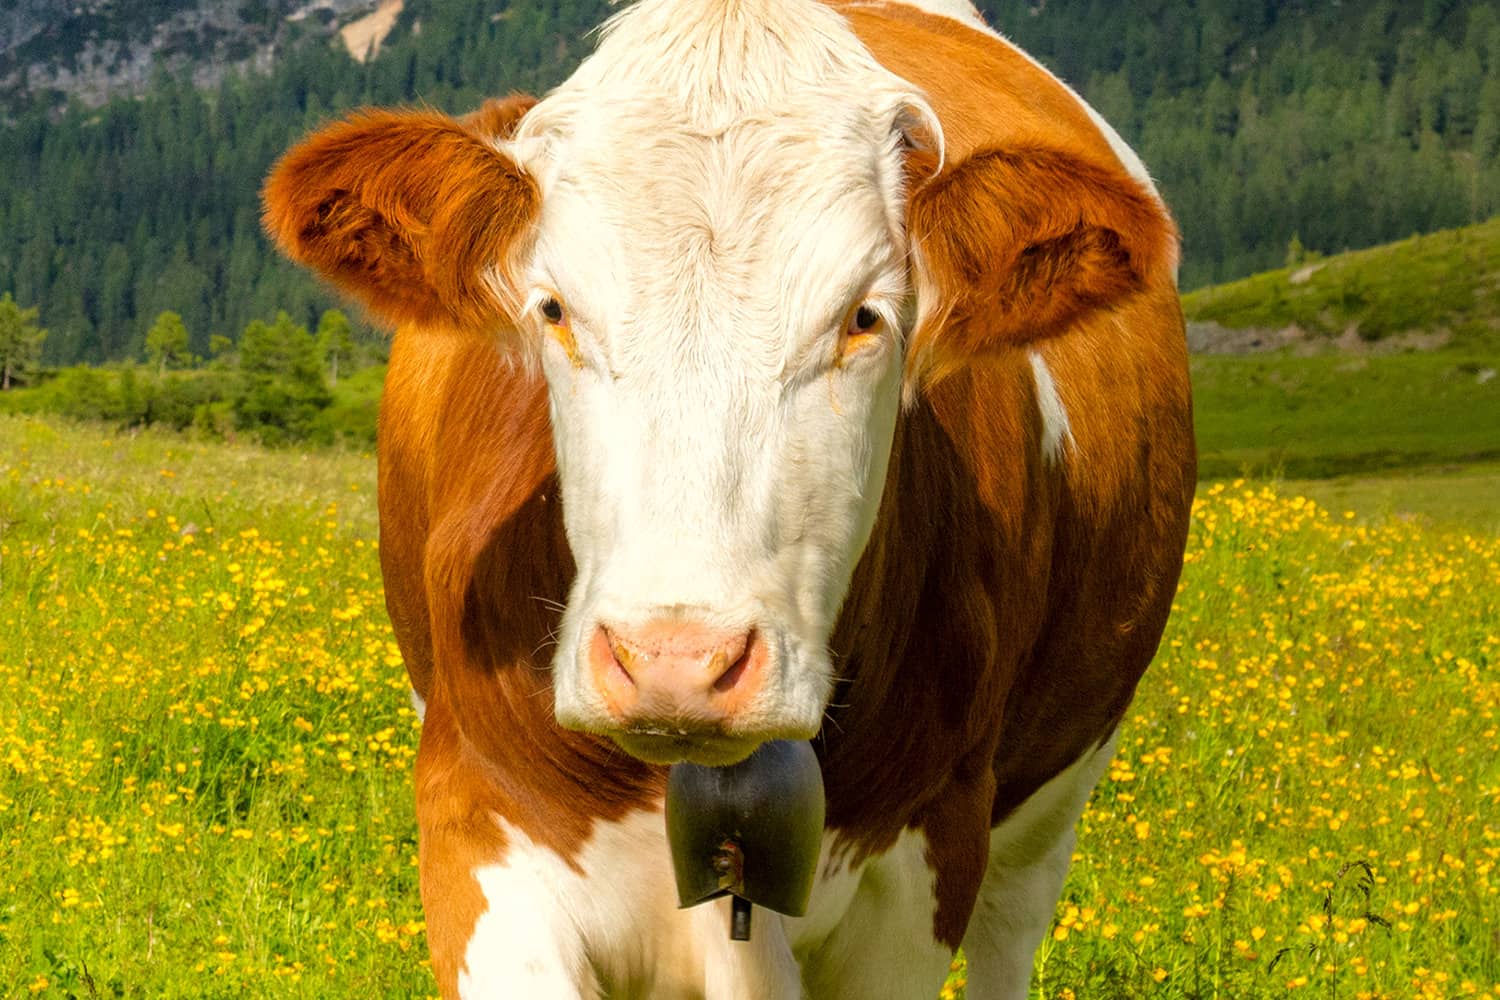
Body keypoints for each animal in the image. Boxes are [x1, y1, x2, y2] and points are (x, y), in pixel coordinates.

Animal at [262, 0, 1195, 995]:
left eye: (864, 316)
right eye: (553, 308)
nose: (675, 661)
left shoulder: (922, 870)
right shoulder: (479, 828)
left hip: (1048, 807)